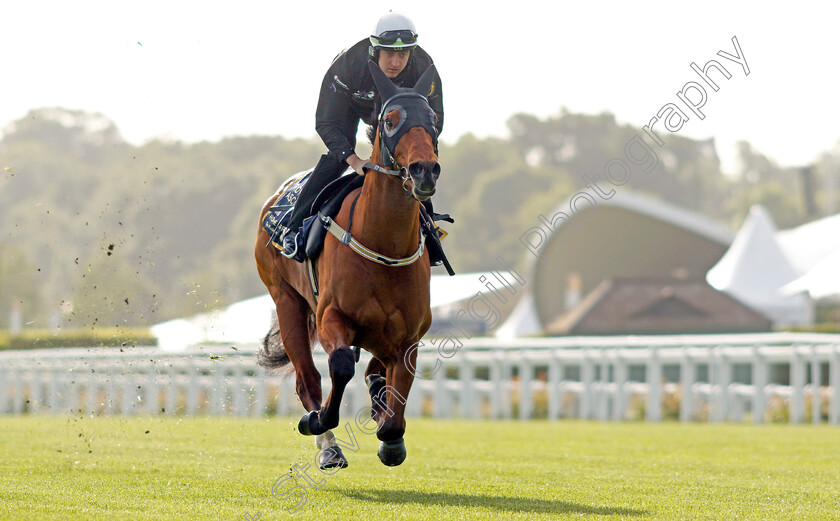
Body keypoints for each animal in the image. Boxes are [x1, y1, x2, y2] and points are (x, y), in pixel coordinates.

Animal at [254, 61, 440, 468]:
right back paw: (328, 446)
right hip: (286, 301)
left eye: (433, 118)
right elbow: (340, 364)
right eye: (391, 120)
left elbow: (393, 404)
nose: (424, 170)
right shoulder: (330, 315)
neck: (383, 246)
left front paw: (390, 437)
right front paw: (317, 420)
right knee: (307, 378)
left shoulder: (410, 336)